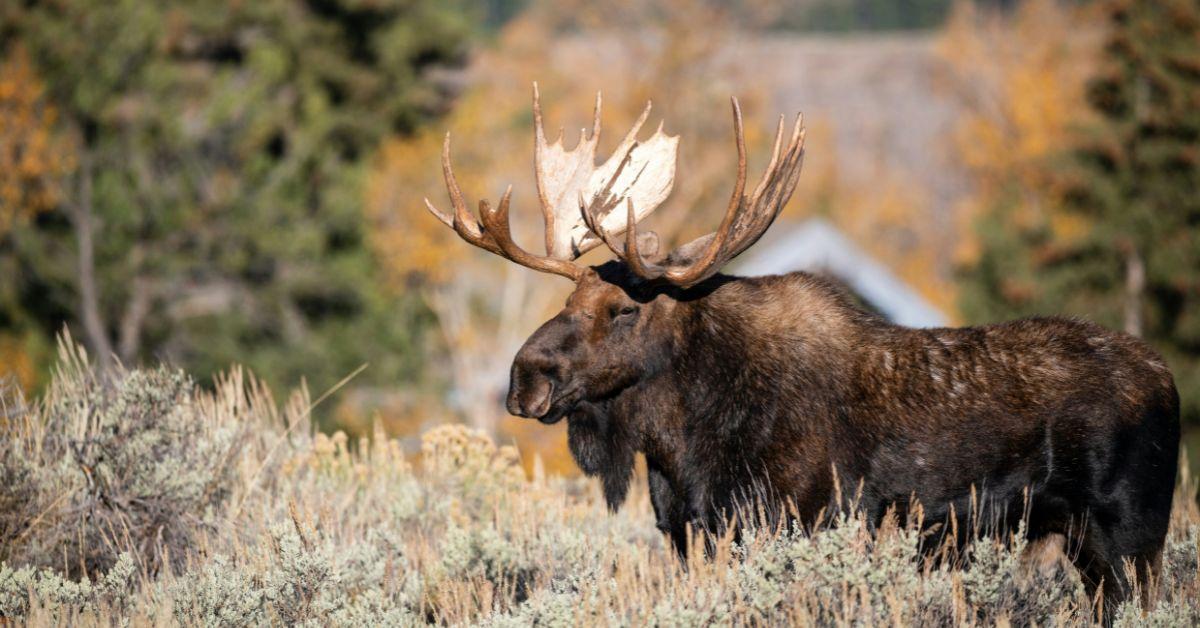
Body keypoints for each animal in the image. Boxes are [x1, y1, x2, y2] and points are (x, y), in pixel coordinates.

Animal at [424, 85, 1180, 614]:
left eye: (623, 310)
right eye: (566, 302)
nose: (524, 378)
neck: (681, 443)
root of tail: (1168, 379)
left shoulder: (798, 520)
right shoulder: (688, 532)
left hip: (1130, 534)